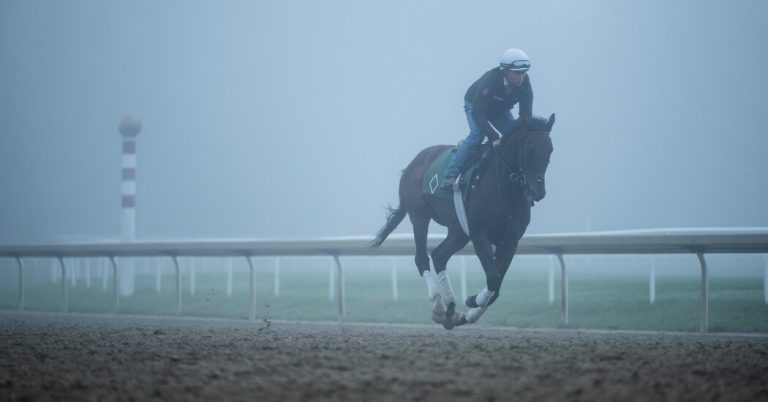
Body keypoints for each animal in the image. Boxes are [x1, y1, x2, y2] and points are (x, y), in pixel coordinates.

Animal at [370, 113, 552, 330]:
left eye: (550, 150)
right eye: (529, 149)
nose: (538, 191)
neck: (505, 189)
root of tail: (414, 163)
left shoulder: (510, 240)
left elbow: (496, 286)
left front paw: (470, 310)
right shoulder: (479, 233)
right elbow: (493, 278)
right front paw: (473, 301)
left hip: (458, 231)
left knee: (439, 256)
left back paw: (450, 311)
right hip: (420, 217)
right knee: (422, 258)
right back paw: (438, 305)